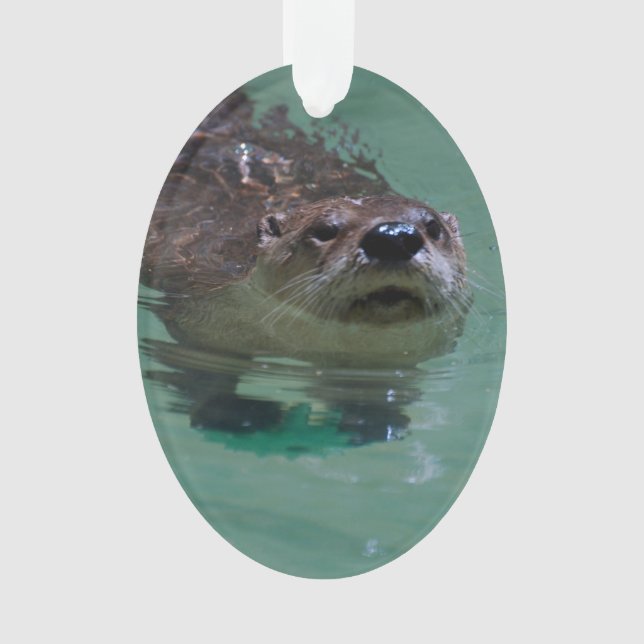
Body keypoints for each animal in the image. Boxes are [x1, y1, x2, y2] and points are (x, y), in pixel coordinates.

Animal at [140, 90, 470, 442]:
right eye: (325, 230)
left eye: (432, 226)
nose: (393, 236)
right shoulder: (200, 316)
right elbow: (200, 367)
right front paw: (238, 414)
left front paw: (372, 416)